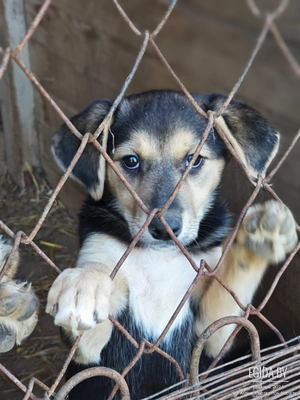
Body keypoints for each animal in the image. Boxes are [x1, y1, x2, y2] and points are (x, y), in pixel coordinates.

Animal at [47, 91, 298, 400]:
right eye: (131, 161)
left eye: (194, 159)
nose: (164, 228)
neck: (160, 256)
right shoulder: (90, 356)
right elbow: (96, 270)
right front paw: (83, 285)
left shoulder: (212, 332)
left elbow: (230, 287)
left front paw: (261, 236)